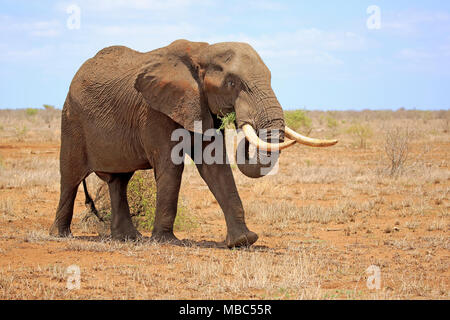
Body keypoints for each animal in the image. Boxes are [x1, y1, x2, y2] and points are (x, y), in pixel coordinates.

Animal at [49, 39, 338, 248]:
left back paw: (128, 238)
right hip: (71, 119)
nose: (241, 120)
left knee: (119, 180)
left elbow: (215, 167)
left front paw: (243, 241)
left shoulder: (200, 106)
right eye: (232, 83)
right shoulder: (156, 110)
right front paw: (165, 242)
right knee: (71, 177)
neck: (202, 51)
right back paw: (60, 236)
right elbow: (171, 167)